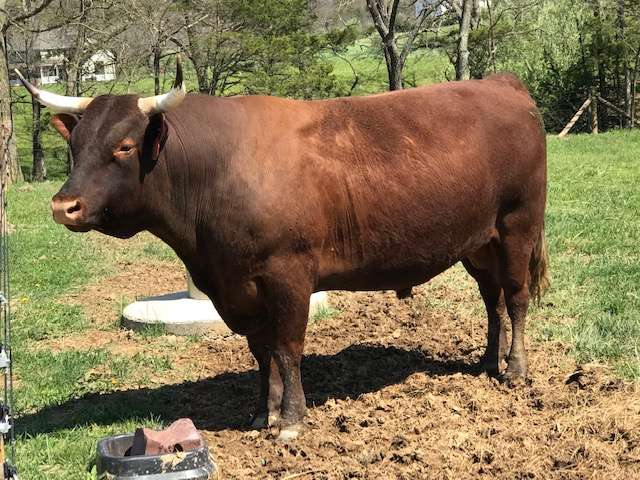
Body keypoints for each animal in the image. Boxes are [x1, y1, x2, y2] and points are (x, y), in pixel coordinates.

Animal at [16, 60, 544, 442]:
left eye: (124, 146)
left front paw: (291, 420)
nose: (64, 206)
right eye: (76, 143)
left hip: (518, 224)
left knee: (516, 298)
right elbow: (262, 352)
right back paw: (486, 364)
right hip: (478, 243)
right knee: (493, 302)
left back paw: (515, 370)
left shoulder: (288, 275)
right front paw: (261, 414)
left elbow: (288, 349)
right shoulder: (236, 286)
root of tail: (502, 83)